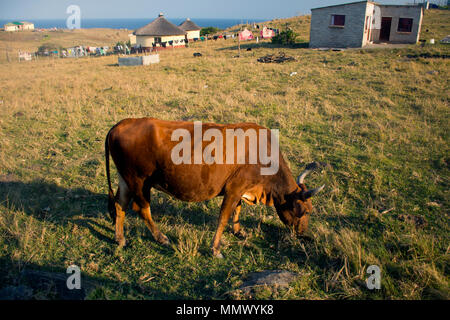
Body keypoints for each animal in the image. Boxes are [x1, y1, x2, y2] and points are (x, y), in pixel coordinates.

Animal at [105, 117, 324, 258]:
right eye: (305, 211)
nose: (303, 233)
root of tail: (120, 124)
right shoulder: (234, 189)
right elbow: (223, 217)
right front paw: (216, 249)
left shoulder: (240, 190)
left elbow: (237, 210)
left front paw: (238, 231)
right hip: (139, 181)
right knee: (141, 209)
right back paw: (161, 238)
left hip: (125, 179)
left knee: (119, 204)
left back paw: (120, 238)